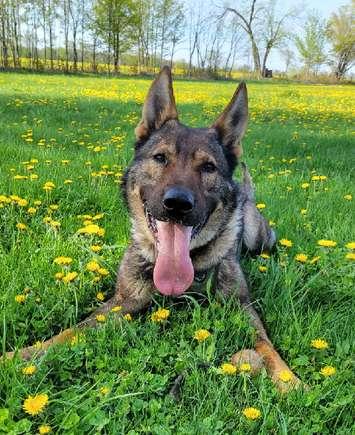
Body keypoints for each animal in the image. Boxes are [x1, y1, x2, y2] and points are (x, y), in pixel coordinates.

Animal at [5, 66, 300, 394]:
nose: (177, 203)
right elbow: (69, 333)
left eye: (208, 167)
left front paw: (289, 380)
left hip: (256, 235)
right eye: (160, 158)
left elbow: (265, 345)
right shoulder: (122, 303)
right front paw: (20, 356)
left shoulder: (242, 307)